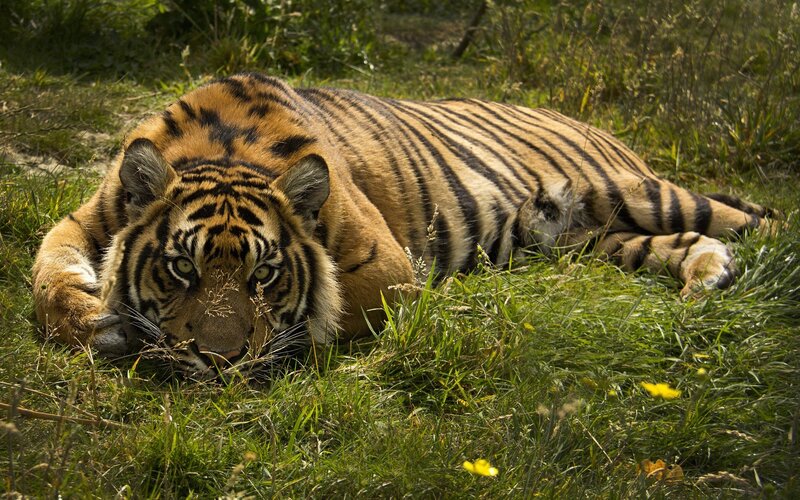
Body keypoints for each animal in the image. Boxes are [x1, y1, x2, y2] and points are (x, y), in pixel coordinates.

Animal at [32, 72, 775, 378]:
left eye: (264, 275)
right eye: (181, 267)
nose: (221, 359)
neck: (224, 150)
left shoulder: (384, 269)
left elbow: (326, 311)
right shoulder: (82, 218)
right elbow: (47, 274)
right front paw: (98, 322)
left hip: (639, 191)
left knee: (757, 218)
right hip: (595, 241)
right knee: (680, 243)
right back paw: (705, 282)